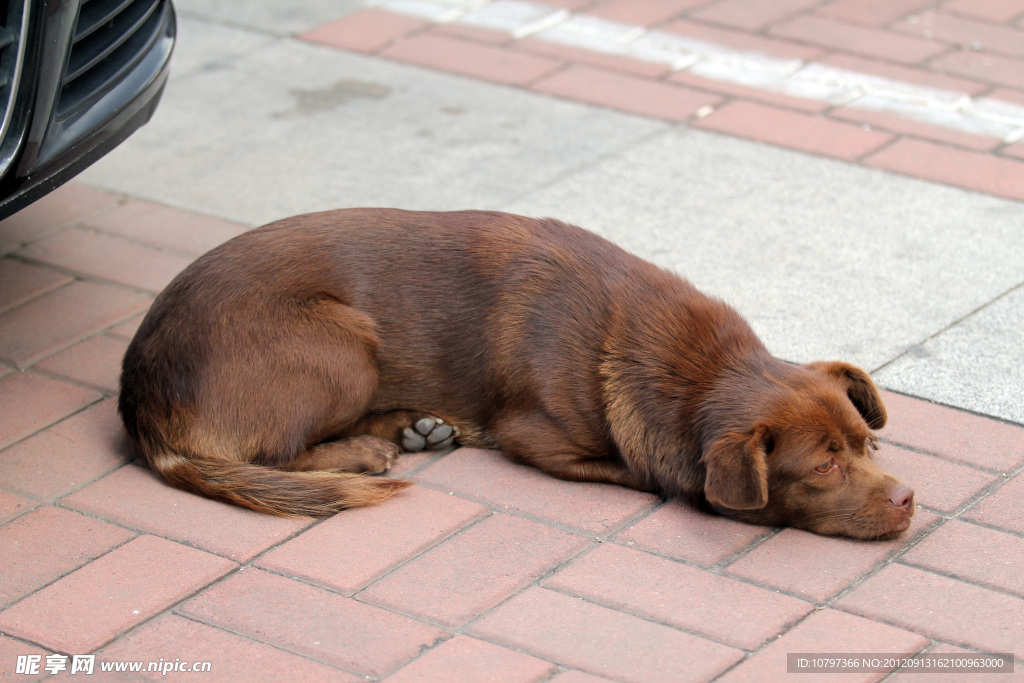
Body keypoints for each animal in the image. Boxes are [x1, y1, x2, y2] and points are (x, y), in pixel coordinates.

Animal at [117, 208, 913, 540]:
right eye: (824, 466)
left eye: (867, 446)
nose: (908, 499)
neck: (694, 366)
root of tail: (138, 396)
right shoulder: (539, 440)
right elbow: (643, 469)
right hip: (346, 339)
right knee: (271, 452)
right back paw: (367, 450)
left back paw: (413, 427)